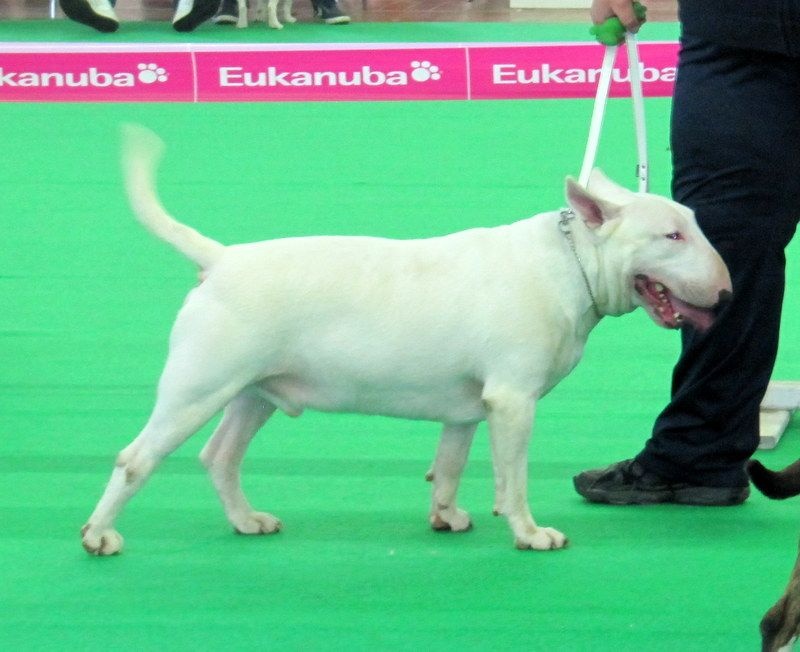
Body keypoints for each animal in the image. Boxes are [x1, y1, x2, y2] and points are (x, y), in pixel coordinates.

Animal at [80, 124, 732, 556]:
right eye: (671, 236)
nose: (727, 296)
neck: (570, 264)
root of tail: (221, 259)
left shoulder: (469, 408)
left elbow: (449, 464)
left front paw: (446, 516)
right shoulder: (513, 401)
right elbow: (514, 476)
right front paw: (529, 532)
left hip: (253, 391)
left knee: (220, 456)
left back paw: (246, 521)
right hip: (199, 386)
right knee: (136, 459)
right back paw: (99, 535)